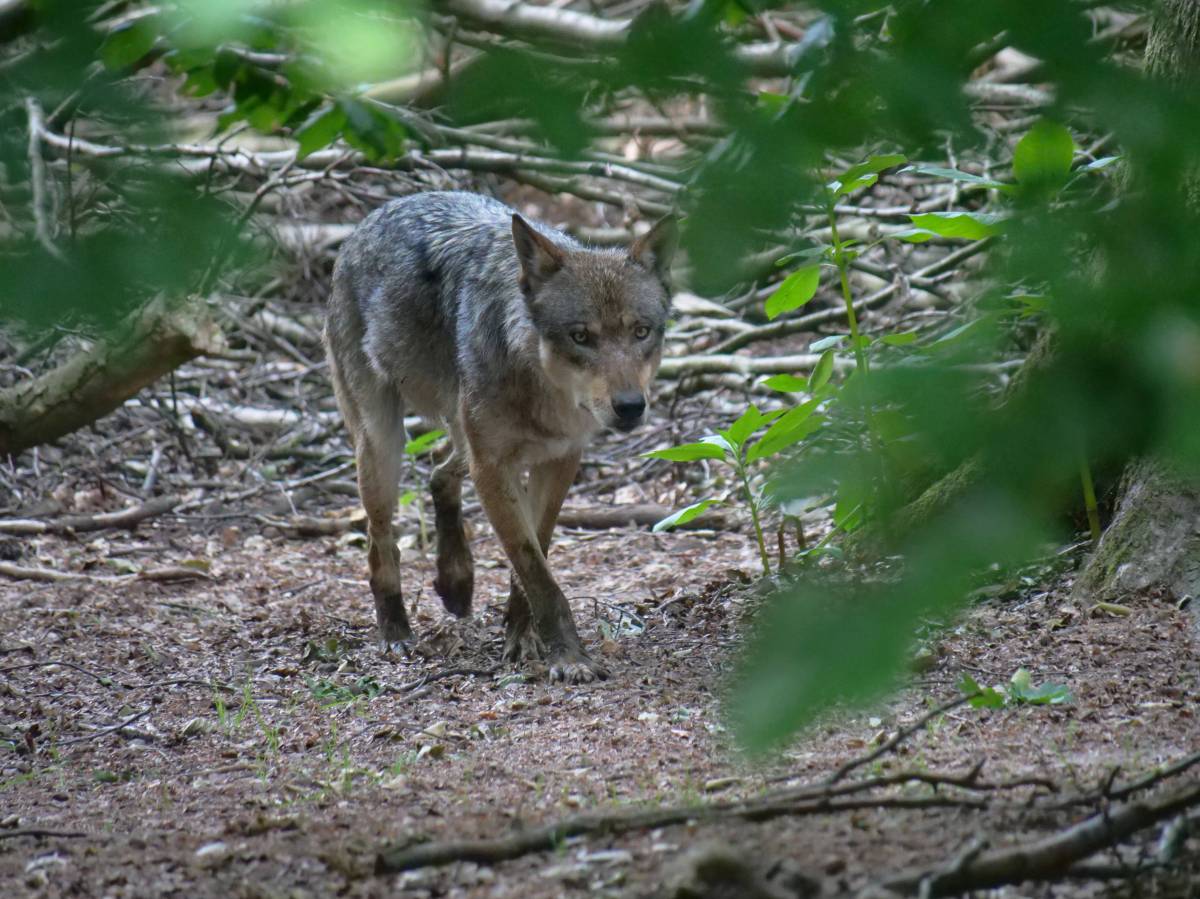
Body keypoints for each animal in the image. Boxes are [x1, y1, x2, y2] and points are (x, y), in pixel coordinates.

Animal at [324, 189, 676, 681]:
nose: (630, 406)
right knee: (381, 540)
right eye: (580, 336)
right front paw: (568, 656)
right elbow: (535, 569)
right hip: (382, 447)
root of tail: (375, 215)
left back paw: (456, 581)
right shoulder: (492, 468)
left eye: (641, 332)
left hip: (459, 436)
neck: (541, 391)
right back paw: (395, 631)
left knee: (439, 474)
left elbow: (535, 553)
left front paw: (522, 636)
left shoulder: (558, 460)